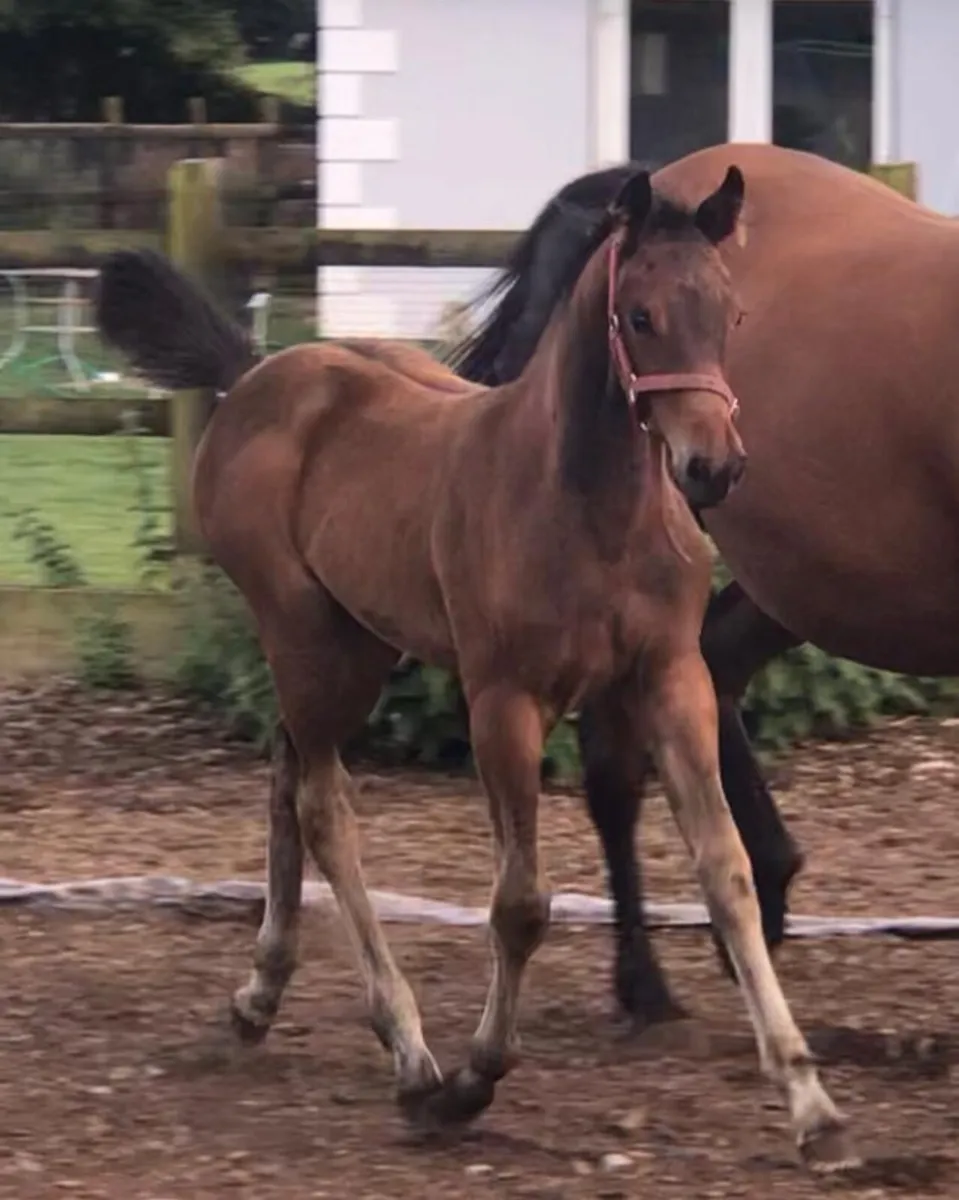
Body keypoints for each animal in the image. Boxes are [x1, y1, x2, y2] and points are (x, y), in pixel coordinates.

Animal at [94, 165, 853, 1166]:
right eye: (640, 315)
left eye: (727, 312)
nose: (714, 467)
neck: (590, 511)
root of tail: (254, 373)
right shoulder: (502, 700)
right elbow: (520, 903)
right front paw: (471, 1081)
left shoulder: (671, 680)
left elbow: (723, 872)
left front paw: (811, 1105)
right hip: (302, 634)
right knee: (322, 806)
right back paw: (409, 1054)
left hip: (356, 642)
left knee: (287, 776)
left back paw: (259, 998)